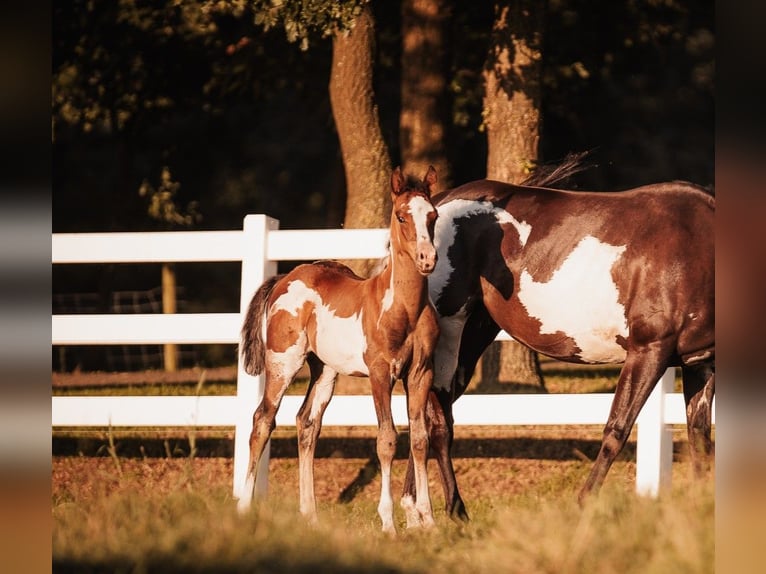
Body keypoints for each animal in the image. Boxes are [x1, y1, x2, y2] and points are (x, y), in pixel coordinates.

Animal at [237, 166, 441, 534]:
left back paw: (310, 516)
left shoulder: (421, 373)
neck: (404, 308)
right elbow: (387, 440)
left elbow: (420, 439)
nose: (427, 259)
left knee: (307, 422)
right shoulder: (380, 373)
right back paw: (244, 508)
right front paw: (388, 523)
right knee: (263, 419)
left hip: (325, 371)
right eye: (402, 216)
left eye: (432, 215)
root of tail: (284, 278)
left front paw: (429, 521)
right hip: (283, 363)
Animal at [401, 160, 714, 520]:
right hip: (450, 333)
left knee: (427, 415)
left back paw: (416, 513)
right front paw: (584, 504)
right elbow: (617, 429)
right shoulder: (650, 350)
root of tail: (440, 200)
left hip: (474, 336)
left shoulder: (700, 363)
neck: (699, 248)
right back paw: (452, 512)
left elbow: (700, 438)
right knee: (438, 421)